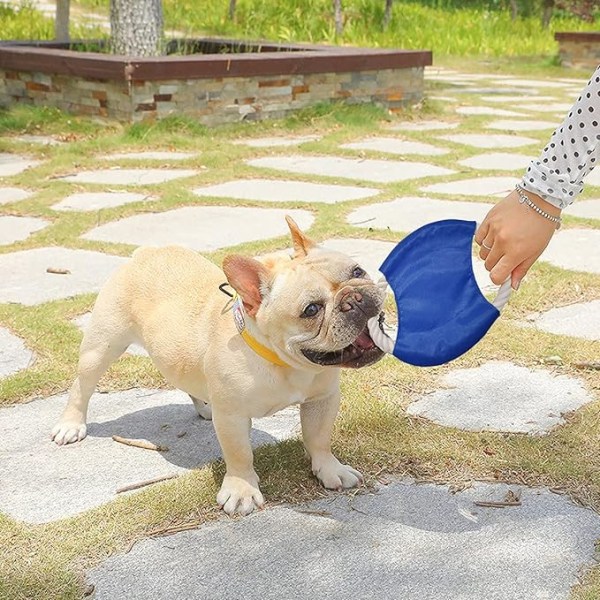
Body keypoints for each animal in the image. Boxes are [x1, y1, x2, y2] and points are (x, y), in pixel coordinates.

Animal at [50, 218, 384, 512]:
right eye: (311, 310)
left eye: (357, 270)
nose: (354, 297)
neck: (282, 362)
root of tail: (144, 253)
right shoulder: (233, 417)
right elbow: (239, 454)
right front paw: (242, 490)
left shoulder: (322, 400)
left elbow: (319, 438)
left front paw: (330, 469)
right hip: (100, 349)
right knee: (81, 387)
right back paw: (71, 425)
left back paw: (204, 406)